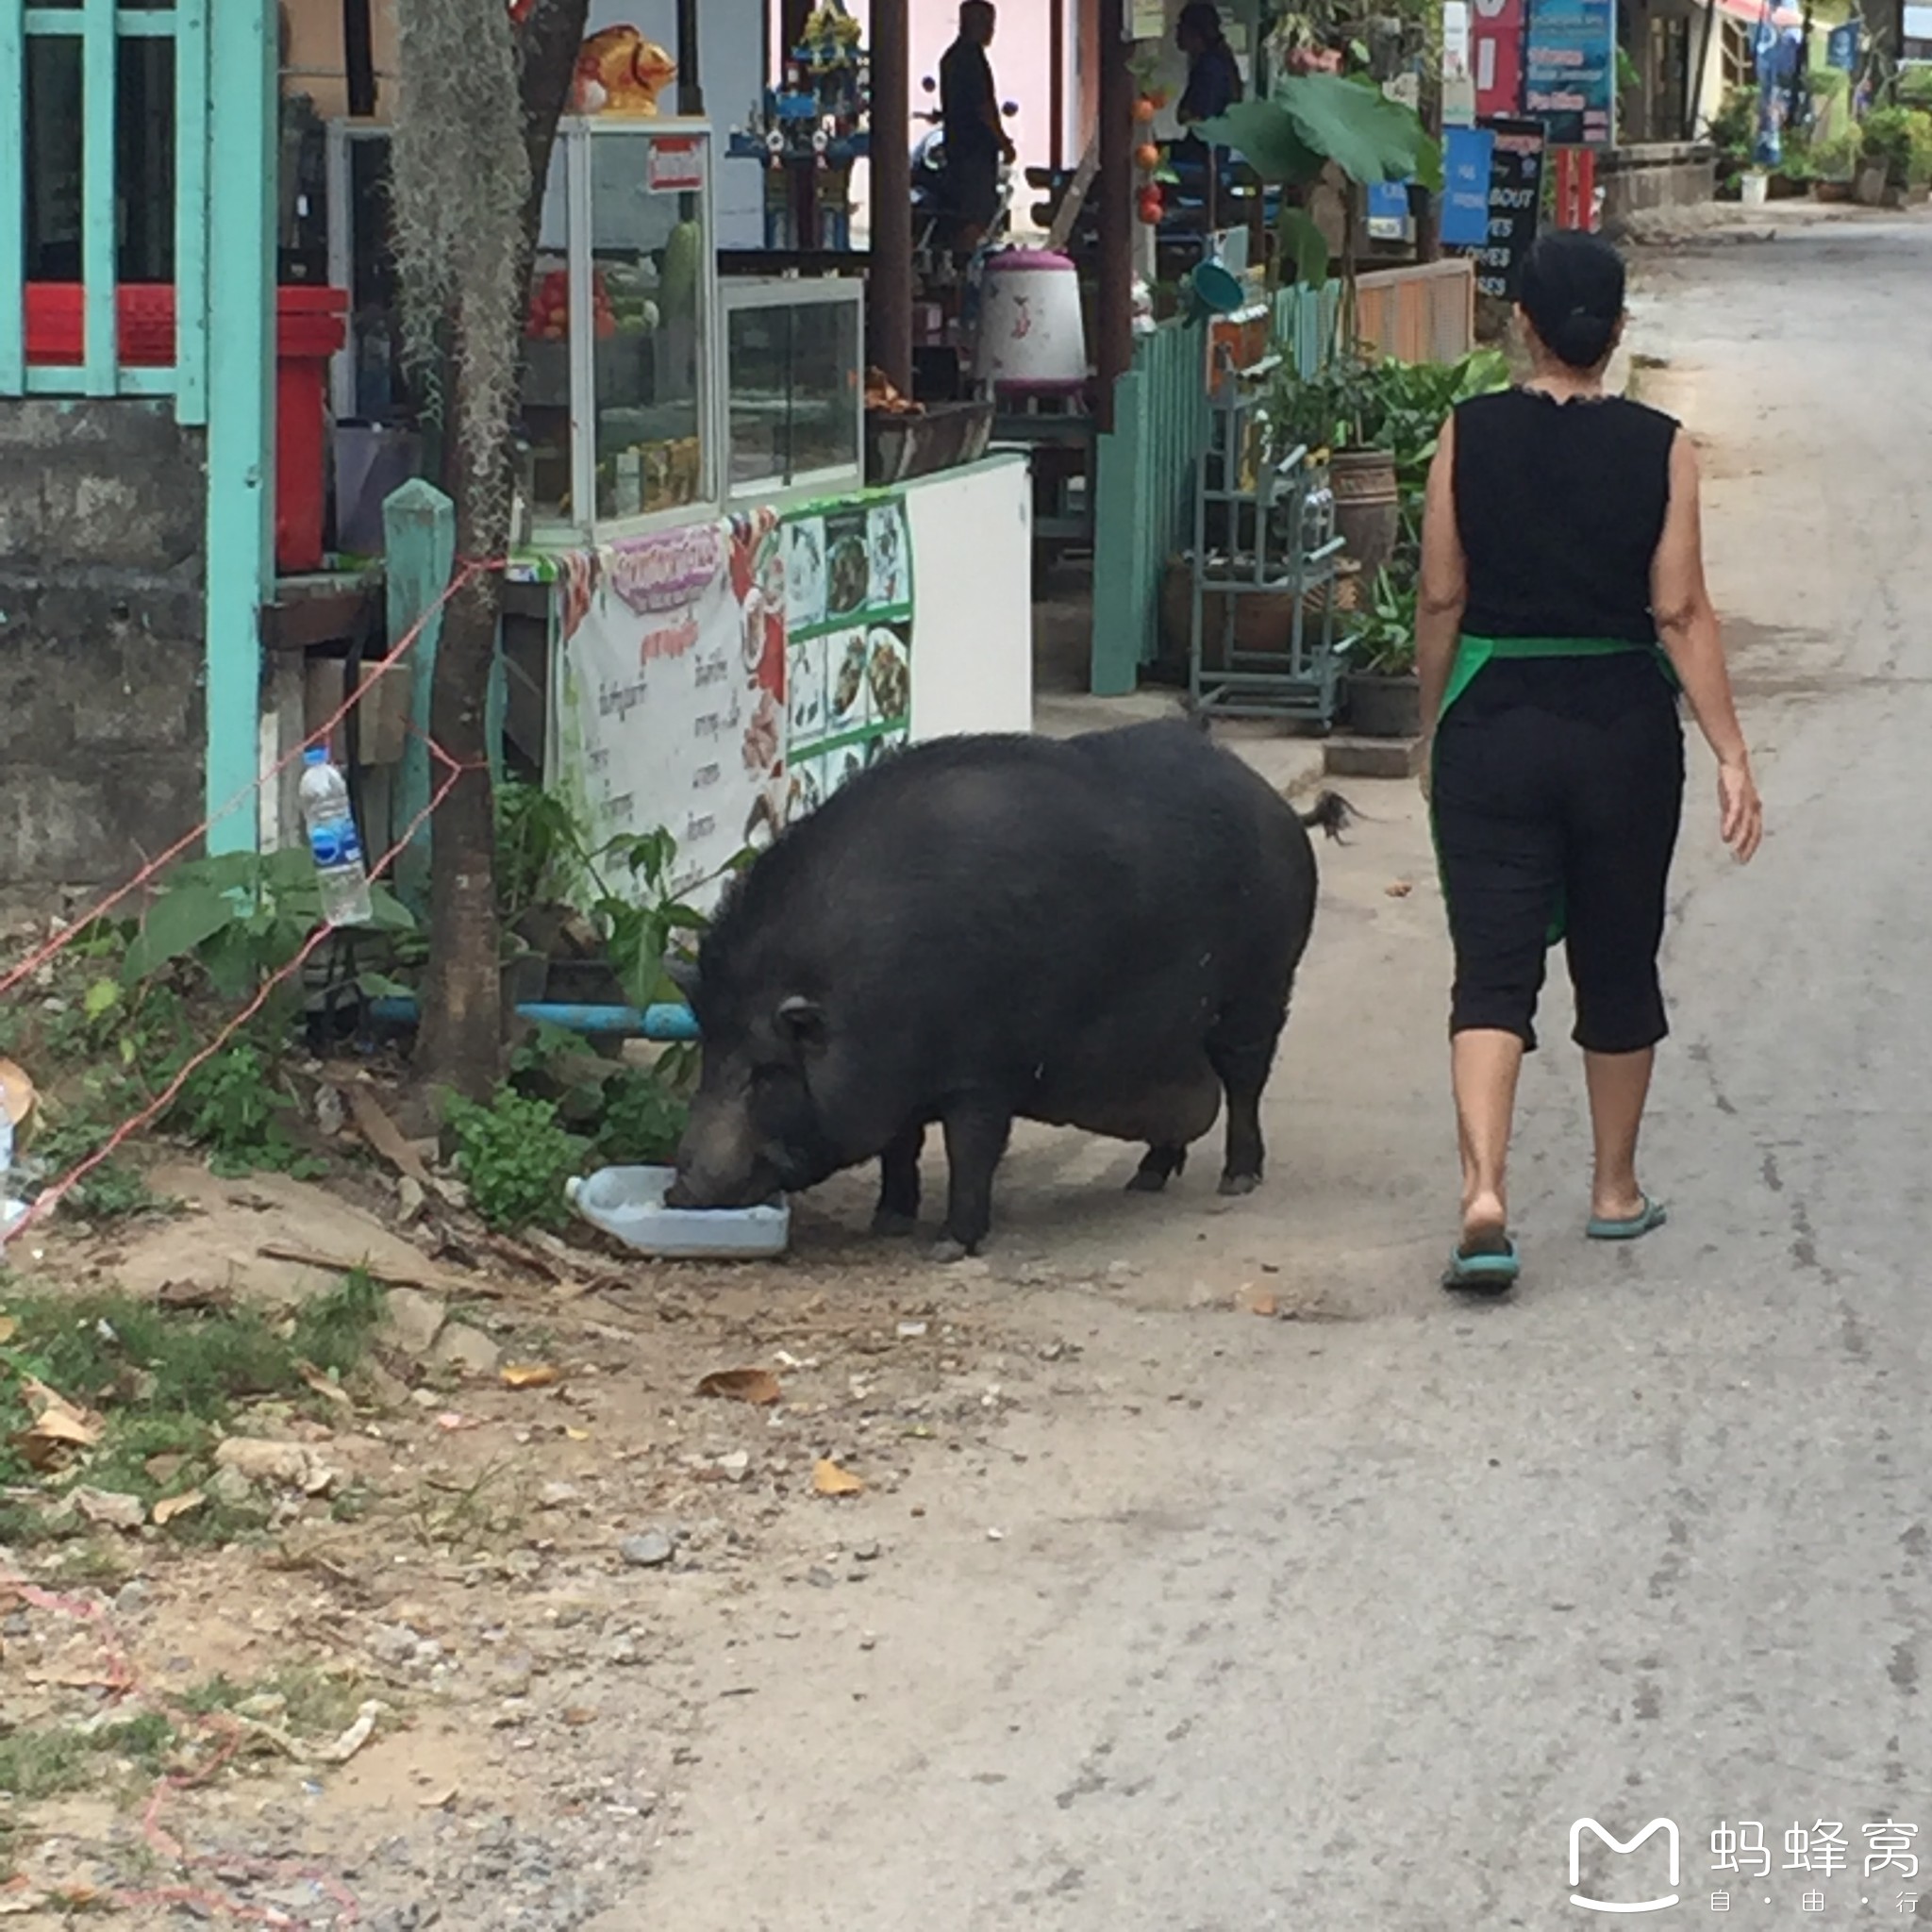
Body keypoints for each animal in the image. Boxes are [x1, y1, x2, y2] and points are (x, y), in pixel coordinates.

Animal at [660, 718, 1329, 1259]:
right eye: (708, 1052)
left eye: (768, 1070)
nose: (678, 1190)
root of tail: (1276, 804)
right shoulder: (898, 1086)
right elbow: (900, 1147)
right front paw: (889, 1223)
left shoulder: (981, 1073)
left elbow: (970, 1152)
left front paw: (947, 1247)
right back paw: (1144, 1180)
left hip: (1263, 988)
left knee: (1243, 1082)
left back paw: (1237, 1181)